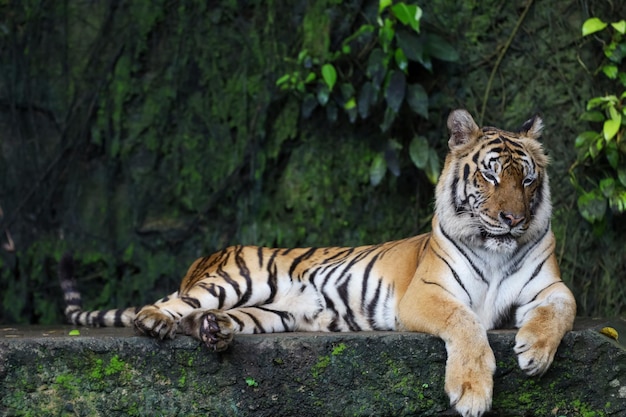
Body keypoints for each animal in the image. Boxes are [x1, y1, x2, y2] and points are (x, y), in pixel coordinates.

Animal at [58, 109, 576, 416]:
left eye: (528, 180)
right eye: (489, 176)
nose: (513, 219)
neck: (495, 251)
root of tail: (207, 257)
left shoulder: (548, 287)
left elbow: (561, 308)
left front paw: (534, 352)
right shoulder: (428, 294)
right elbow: (466, 323)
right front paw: (471, 391)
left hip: (272, 314)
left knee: (202, 318)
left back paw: (213, 331)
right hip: (235, 280)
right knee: (172, 303)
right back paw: (154, 322)